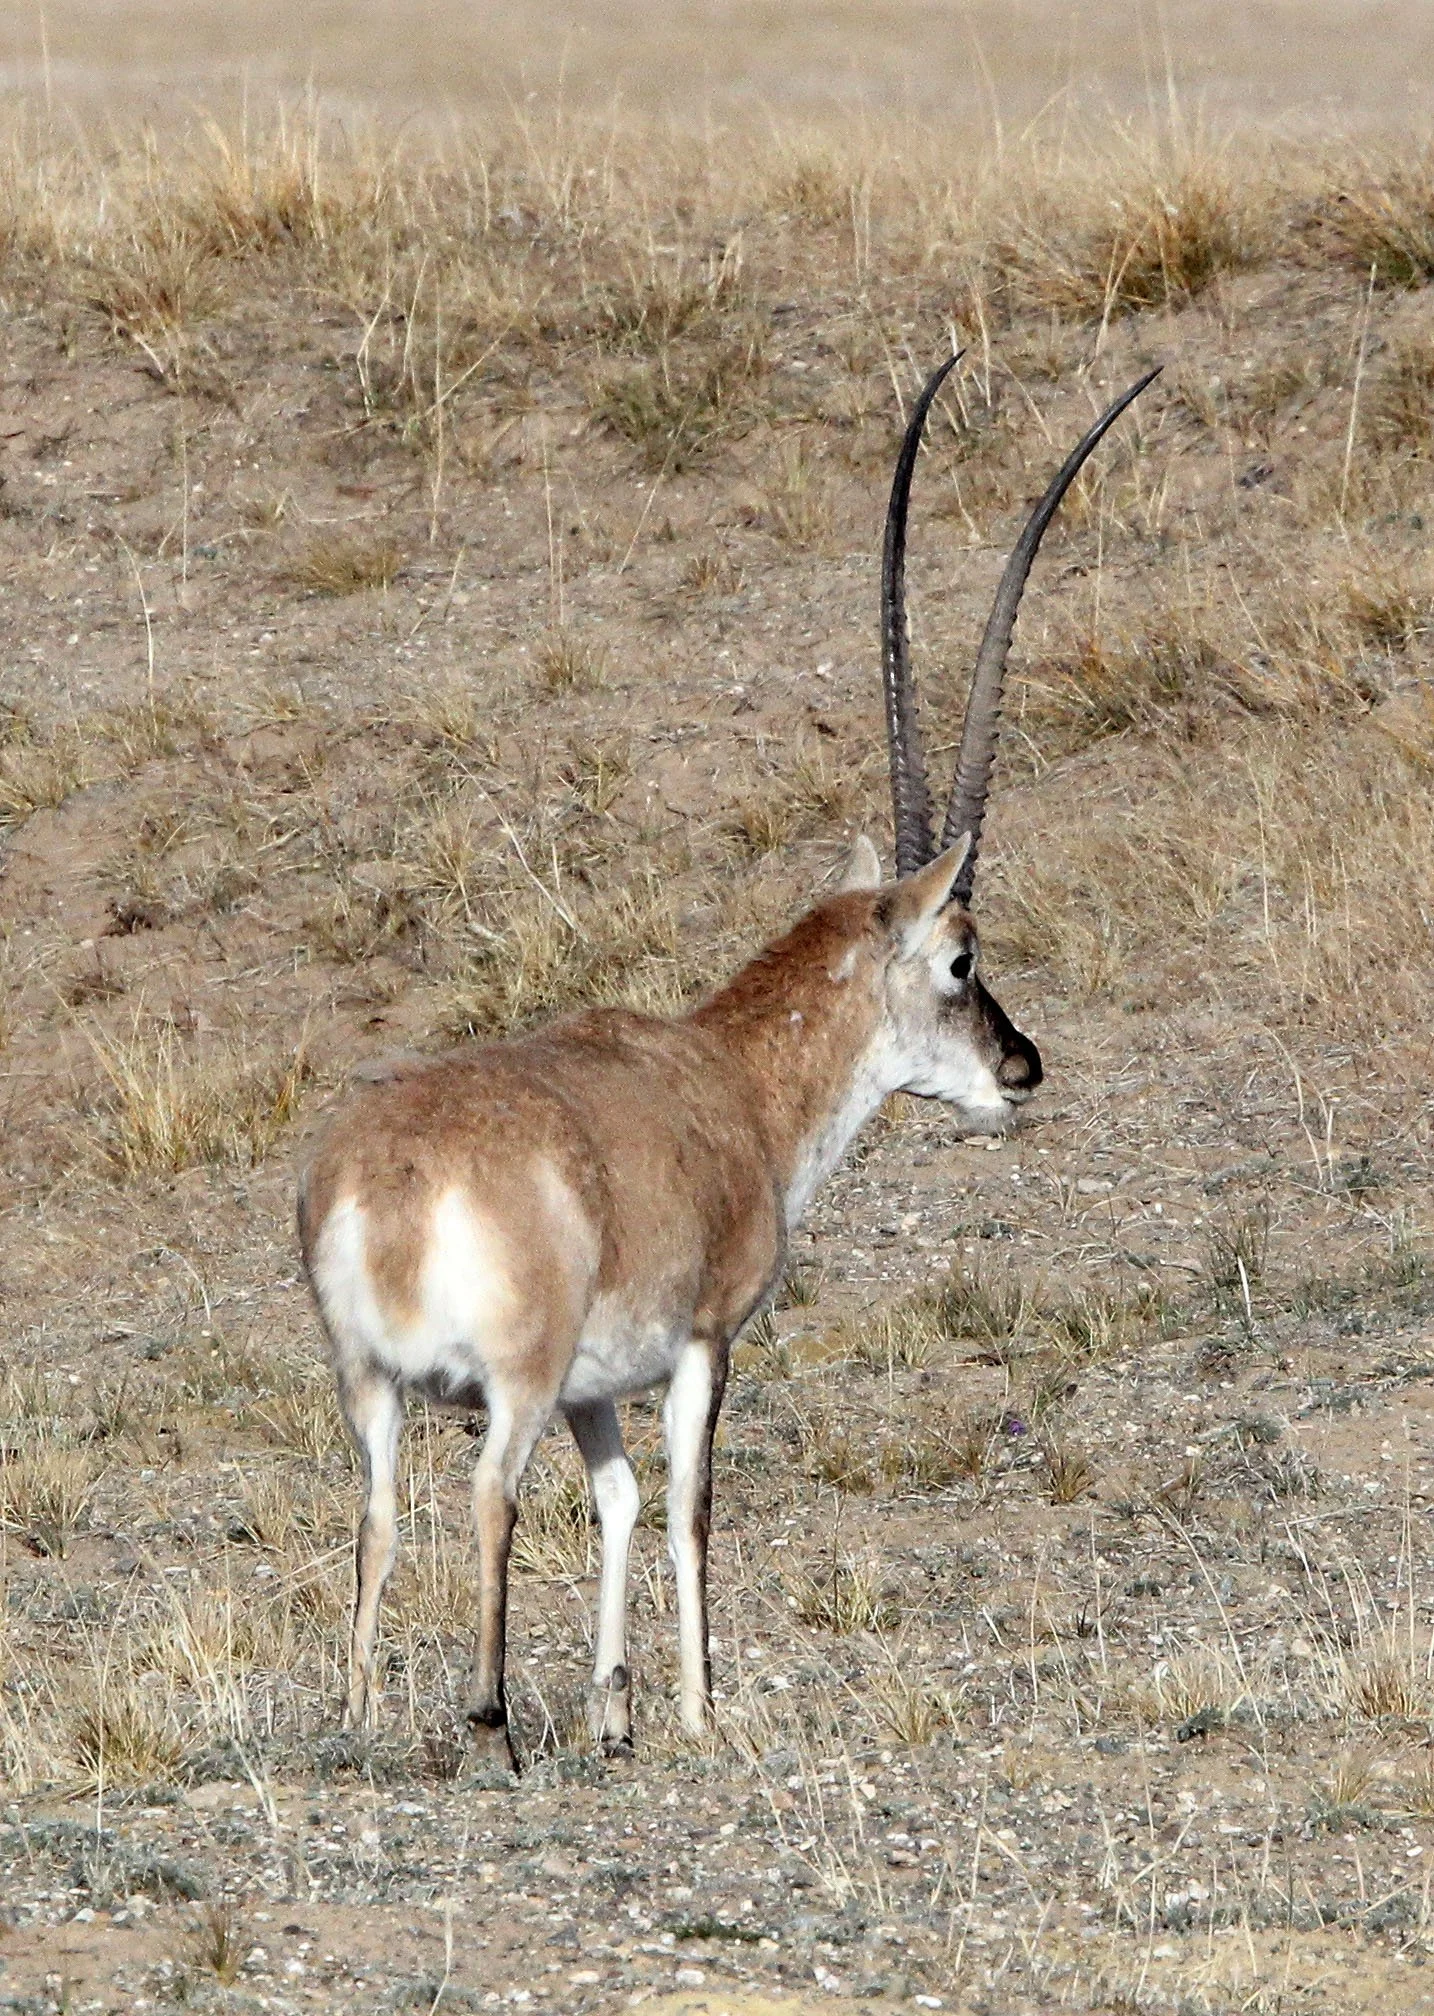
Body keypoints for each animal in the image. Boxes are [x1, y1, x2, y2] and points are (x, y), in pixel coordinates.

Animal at [298, 355, 1160, 1764]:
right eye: (963, 956)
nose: (1022, 1066)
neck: (733, 1079)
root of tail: (388, 1179)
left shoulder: (598, 1390)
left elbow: (617, 1502)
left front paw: (616, 1710)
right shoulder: (703, 1344)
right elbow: (691, 1499)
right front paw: (699, 1708)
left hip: (373, 1388)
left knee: (378, 1514)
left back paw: (369, 1716)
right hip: (508, 1385)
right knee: (486, 1494)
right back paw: (488, 1716)